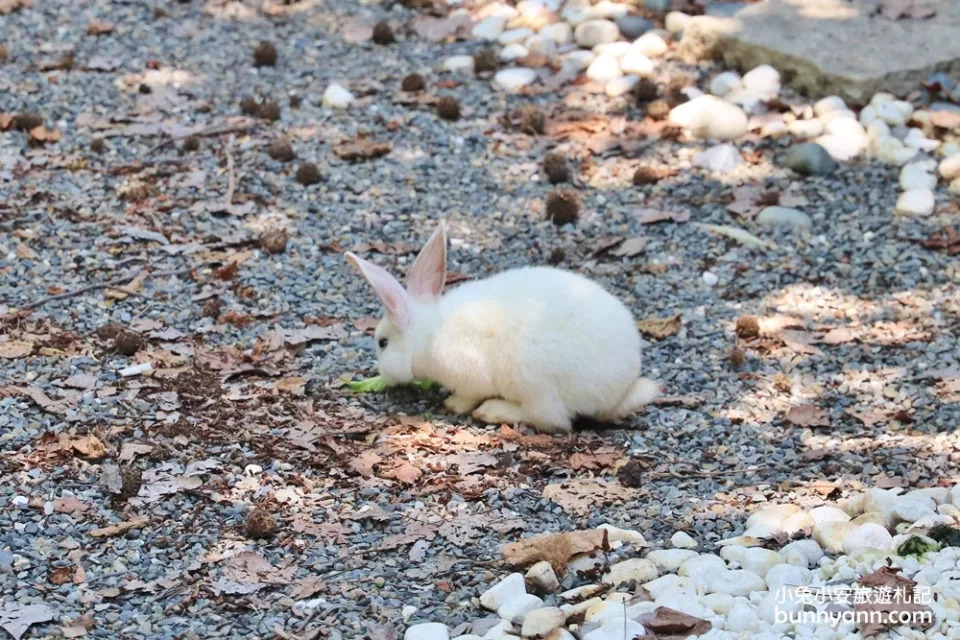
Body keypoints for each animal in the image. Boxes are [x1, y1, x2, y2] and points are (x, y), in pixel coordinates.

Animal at [344, 221, 660, 436]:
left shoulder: (467, 372)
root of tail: (618, 391)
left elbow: (467, 395)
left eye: (382, 342)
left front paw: (452, 404)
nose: (383, 374)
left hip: (534, 381)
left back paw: (493, 411)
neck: (426, 333)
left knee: (551, 420)